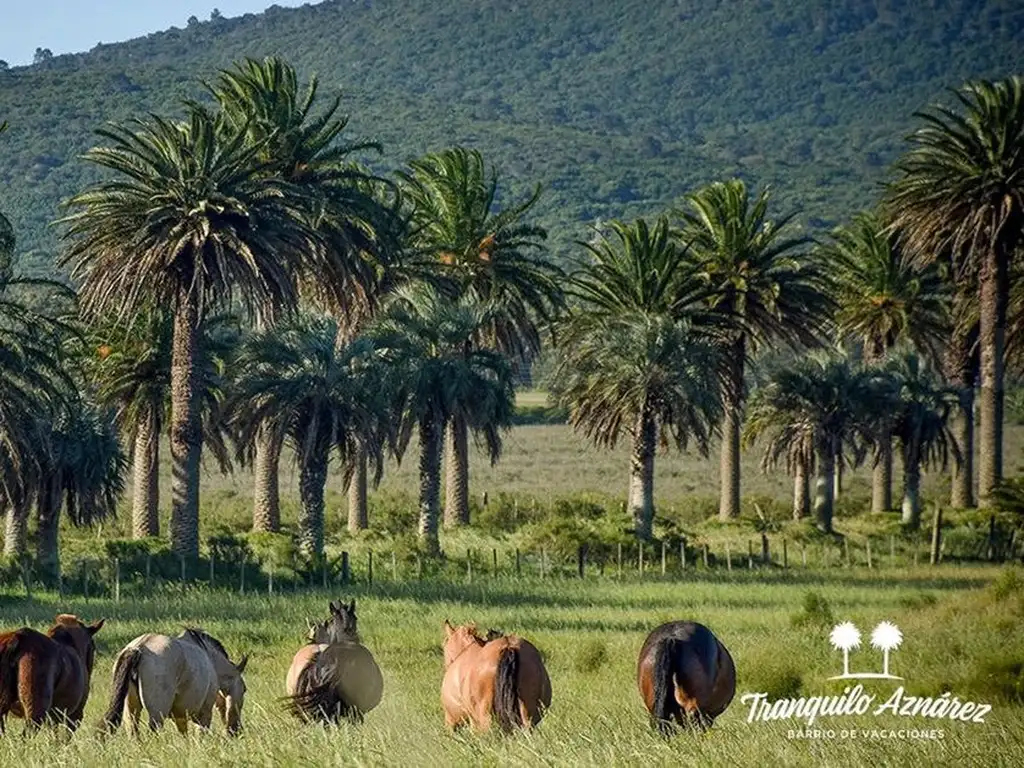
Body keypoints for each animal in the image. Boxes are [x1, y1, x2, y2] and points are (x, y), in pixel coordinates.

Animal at [100, 630, 248, 741]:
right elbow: (200, 736)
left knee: (133, 733)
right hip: (157, 714)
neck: (211, 661)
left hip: (130, 711)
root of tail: (139, 648)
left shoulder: (180, 717)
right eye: (244, 689)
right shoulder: (204, 713)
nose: (237, 731)